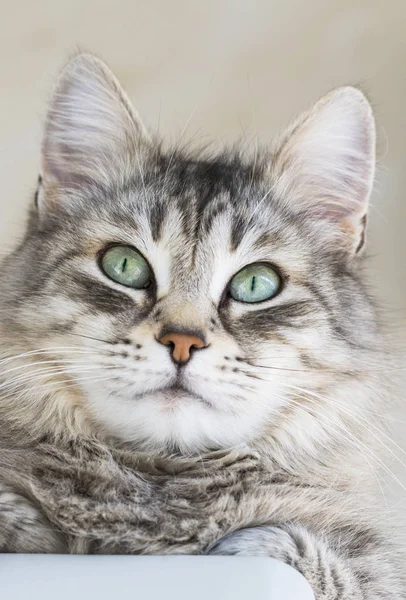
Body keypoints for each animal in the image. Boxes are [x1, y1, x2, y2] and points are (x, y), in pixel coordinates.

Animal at [0, 54, 404, 596]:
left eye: (255, 283)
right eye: (123, 266)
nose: (181, 342)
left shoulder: (373, 568)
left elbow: (321, 558)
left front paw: (244, 543)